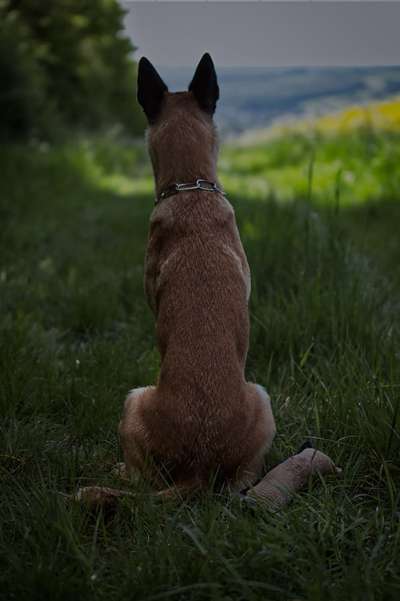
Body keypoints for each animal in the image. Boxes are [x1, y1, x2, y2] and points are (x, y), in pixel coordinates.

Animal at [117, 54, 276, 494]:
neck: (190, 187)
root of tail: (198, 467)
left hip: (134, 398)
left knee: (140, 476)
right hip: (263, 402)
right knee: (243, 479)